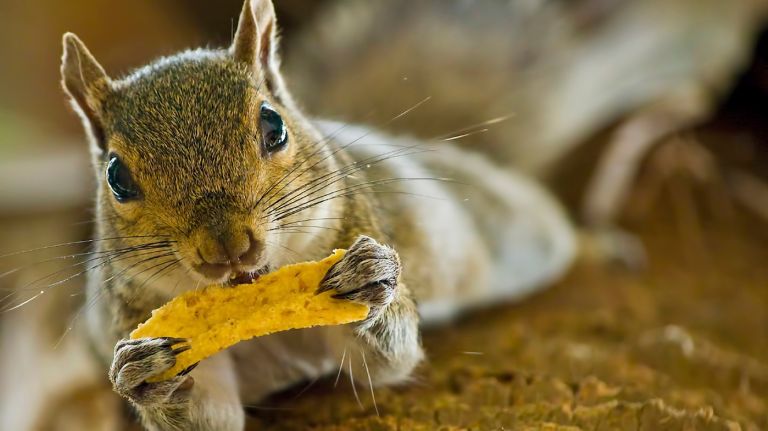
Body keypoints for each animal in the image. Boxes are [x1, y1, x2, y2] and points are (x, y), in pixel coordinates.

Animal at [59, 0, 575, 429]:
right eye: (116, 177)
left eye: (274, 126)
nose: (228, 247)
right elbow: (209, 414)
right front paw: (142, 373)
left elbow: (389, 360)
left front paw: (366, 281)